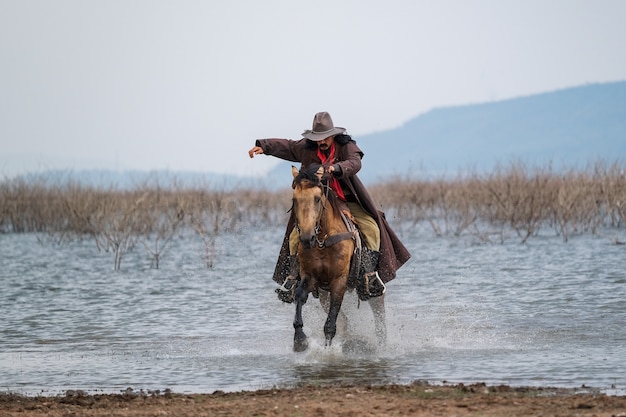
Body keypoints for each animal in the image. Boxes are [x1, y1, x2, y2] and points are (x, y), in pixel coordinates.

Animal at [288, 164, 386, 350]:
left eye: (317, 198)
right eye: (295, 199)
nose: (306, 238)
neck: (323, 241)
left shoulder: (339, 280)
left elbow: (330, 323)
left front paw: (328, 351)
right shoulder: (310, 276)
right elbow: (299, 294)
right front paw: (299, 339)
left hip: (370, 286)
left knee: (379, 311)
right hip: (323, 294)